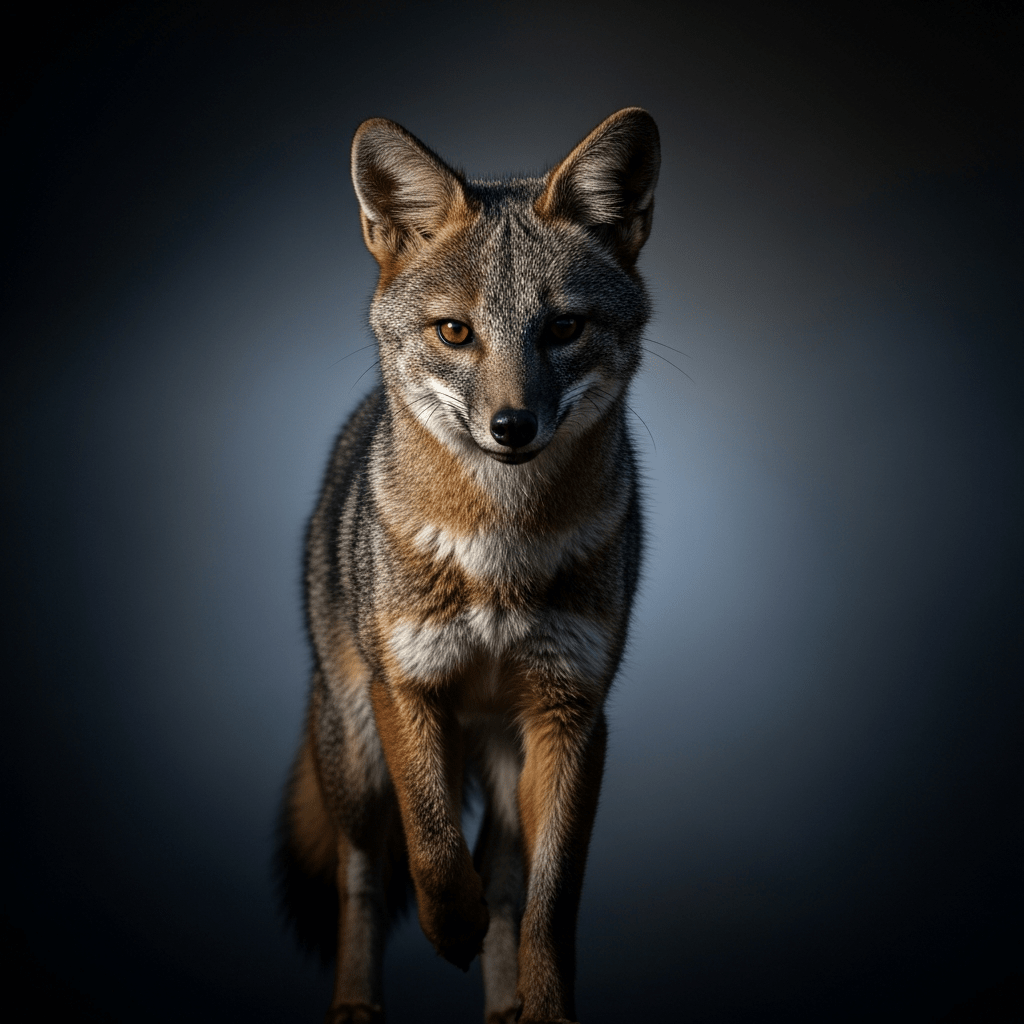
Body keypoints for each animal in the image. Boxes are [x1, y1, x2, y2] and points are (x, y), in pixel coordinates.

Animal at [278, 107, 660, 1024]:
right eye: (456, 331)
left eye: (563, 328)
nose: (511, 426)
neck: (498, 552)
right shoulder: (408, 690)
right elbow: (432, 846)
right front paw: (446, 930)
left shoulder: (571, 715)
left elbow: (547, 902)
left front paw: (545, 1007)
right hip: (356, 753)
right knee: (362, 873)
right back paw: (356, 1003)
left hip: (506, 751)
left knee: (506, 878)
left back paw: (503, 1007)